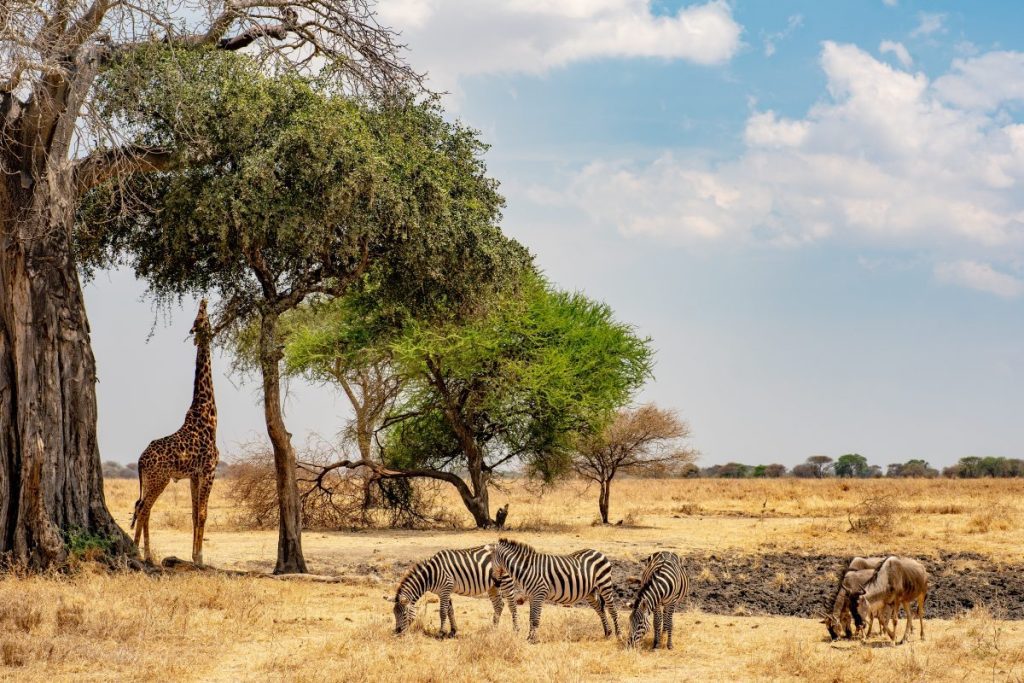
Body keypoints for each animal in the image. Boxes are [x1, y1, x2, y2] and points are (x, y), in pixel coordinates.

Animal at [131, 299, 219, 565]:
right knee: (145, 508)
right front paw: (199, 558)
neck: (209, 415)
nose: (203, 301)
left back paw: (141, 552)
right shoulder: (209, 470)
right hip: (159, 479)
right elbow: (203, 513)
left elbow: (194, 513)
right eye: (199, 317)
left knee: (141, 507)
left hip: (150, 479)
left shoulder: (194, 475)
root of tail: (140, 460)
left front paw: (193, 555)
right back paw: (143, 554)